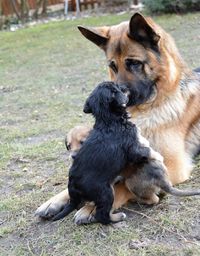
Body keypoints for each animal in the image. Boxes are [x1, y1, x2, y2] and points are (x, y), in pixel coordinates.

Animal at [52, 82, 153, 224]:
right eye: (118, 88)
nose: (125, 86)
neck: (108, 119)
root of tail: (73, 186)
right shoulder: (132, 147)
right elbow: (146, 150)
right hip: (106, 193)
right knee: (101, 215)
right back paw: (117, 218)